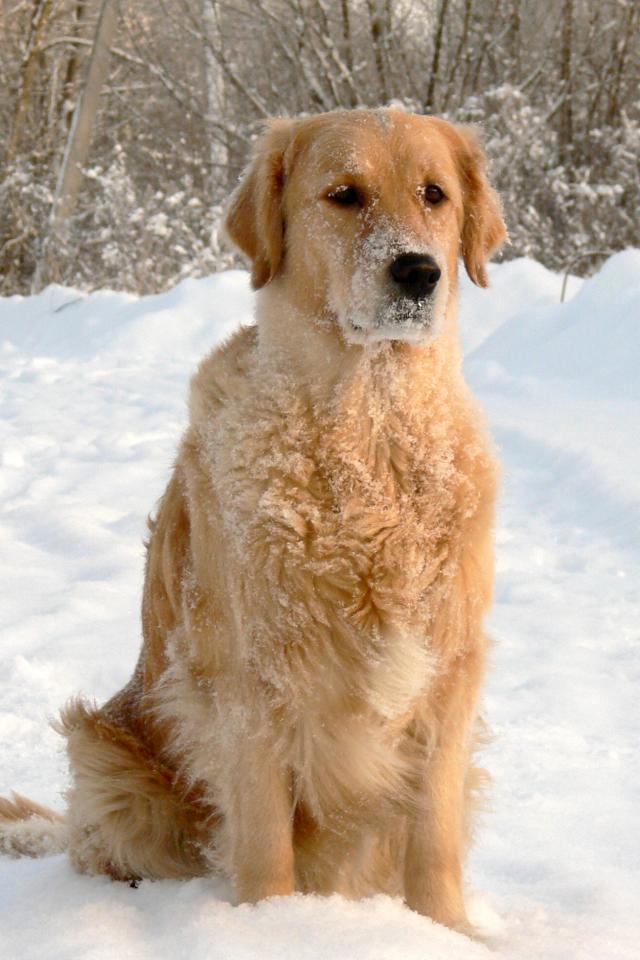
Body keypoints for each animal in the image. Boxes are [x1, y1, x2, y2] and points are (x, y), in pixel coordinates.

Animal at [0, 107, 506, 937]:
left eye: (434, 194)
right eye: (344, 195)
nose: (416, 272)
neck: (370, 436)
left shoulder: (449, 667)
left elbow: (432, 840)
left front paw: (447, 934)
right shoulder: (249, 679)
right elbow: (265, 841)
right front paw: (272, 930)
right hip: (108, 756)